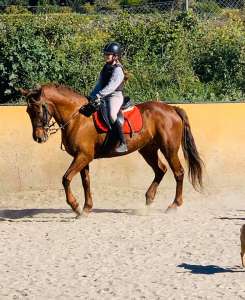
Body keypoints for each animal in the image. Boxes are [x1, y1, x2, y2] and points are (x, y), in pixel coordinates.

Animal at [20, 83, 203, 217]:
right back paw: (148, 200)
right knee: (161, 170)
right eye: (28, 111)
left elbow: (66, 179)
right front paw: (86, 208)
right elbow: (86, 182)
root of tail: (172, 108)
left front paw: (75, 206)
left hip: (169, 149)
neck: (78, 118)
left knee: (178, 172)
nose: (38, 138)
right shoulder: (83, 157)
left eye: (38, 110)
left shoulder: (83, 156)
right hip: (148, 150)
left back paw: (174, 205)